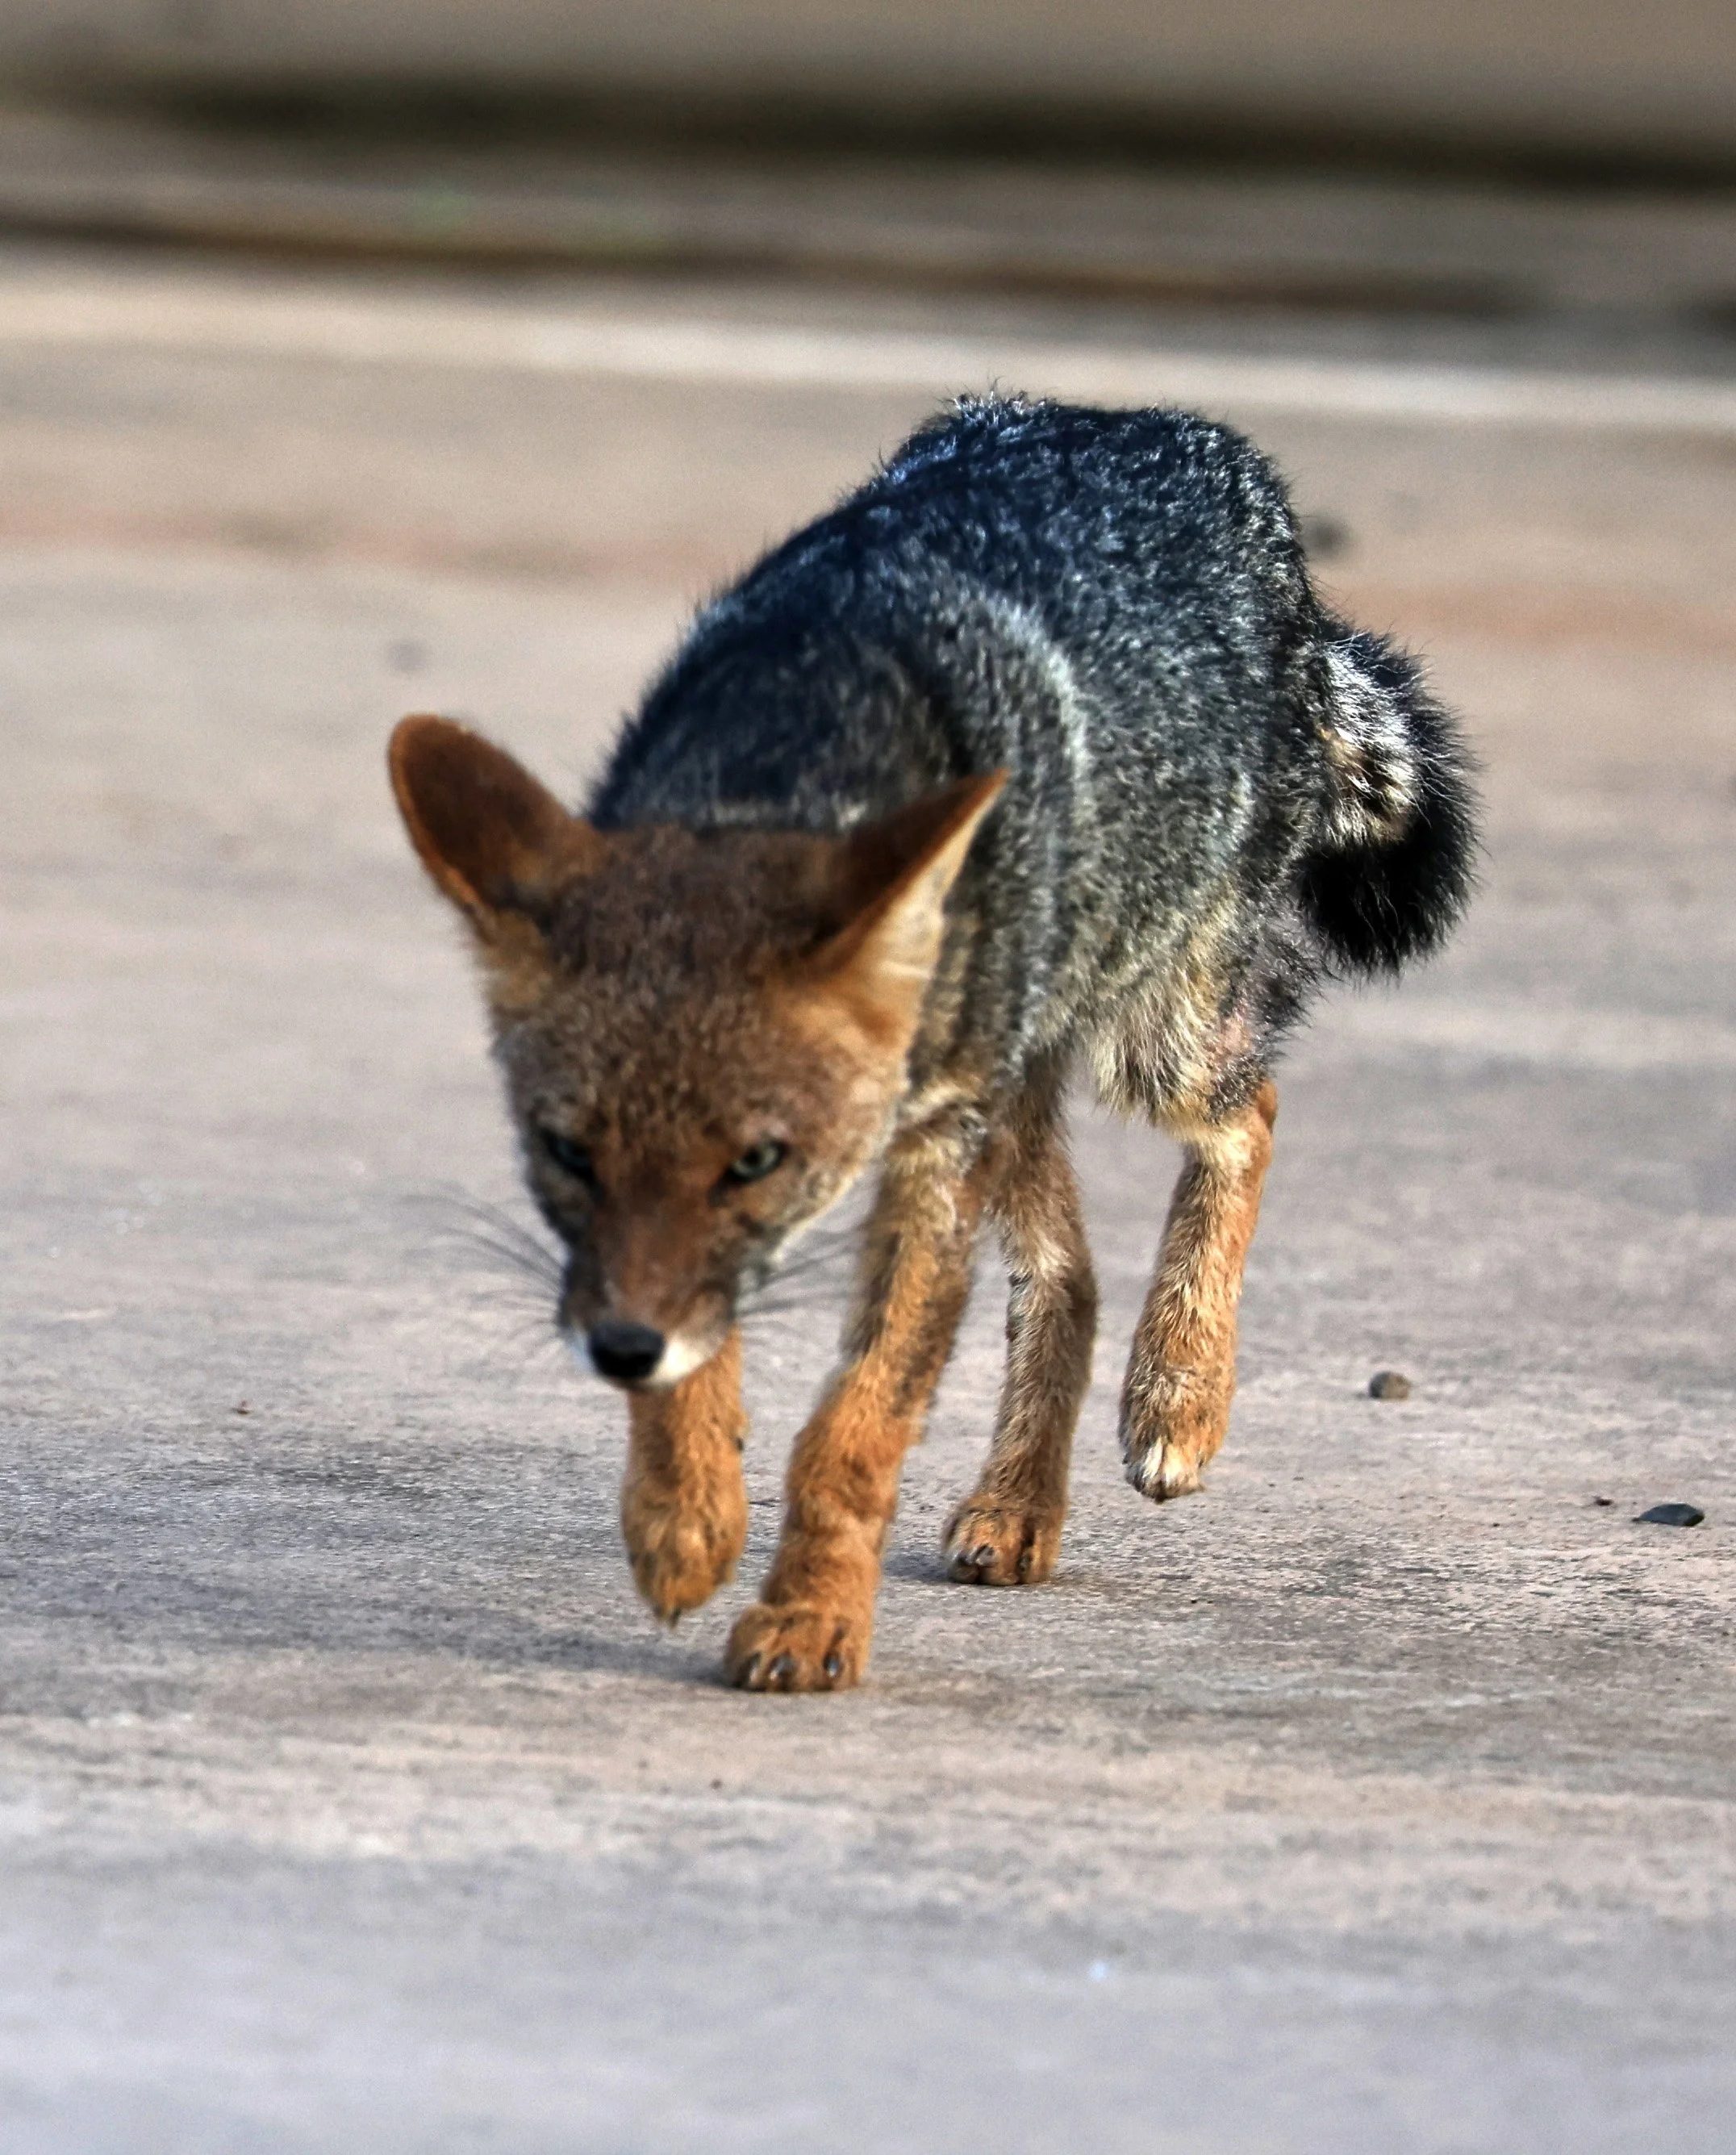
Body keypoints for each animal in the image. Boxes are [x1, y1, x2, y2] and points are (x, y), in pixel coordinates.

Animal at [388, 394, 1475, 1694]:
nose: (619, 1350)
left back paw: (1177, 1393)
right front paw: (682, 1514)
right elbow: (715, 1354)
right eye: (566, 1152)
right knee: (1069, 1271)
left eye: (757, 1159)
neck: (794, 740)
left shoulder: (929, 1159)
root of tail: (1164, 424)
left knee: (1246, 1120)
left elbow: (855, 1424)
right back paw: (1020, 1505)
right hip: (1021, 1084)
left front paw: (809, 1620)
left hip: (1151, 1047)